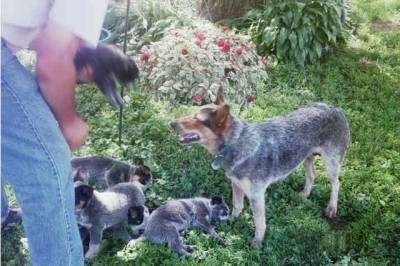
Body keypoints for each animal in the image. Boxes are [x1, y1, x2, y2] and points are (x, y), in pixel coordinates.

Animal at [172, 89, 350, 247]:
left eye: (196, 119)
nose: (171, 123)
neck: (236, 144)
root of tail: (336, 108)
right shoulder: (236, 184)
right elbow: (237, 206)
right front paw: (231, 220)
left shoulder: (256, 195)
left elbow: (259, 222)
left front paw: (257, 242)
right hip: (305, 157)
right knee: (312, 175)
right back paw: (305, 194)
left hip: (331, 164)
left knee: (336, 184)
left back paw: (332, 208)